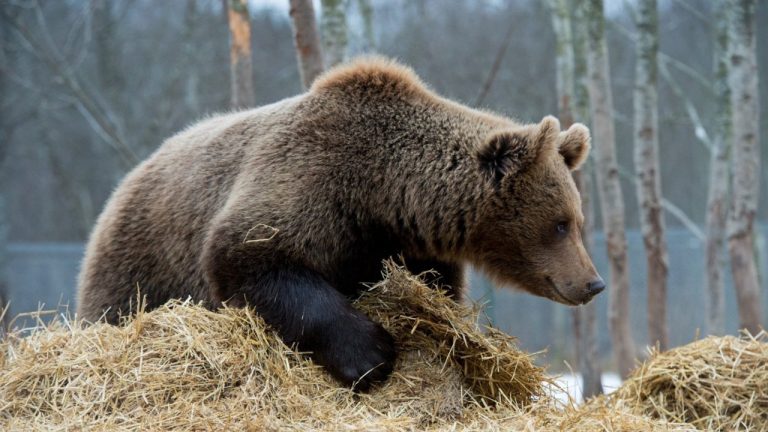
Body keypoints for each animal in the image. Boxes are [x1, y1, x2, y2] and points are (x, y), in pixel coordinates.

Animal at [77, 57, 604, 391]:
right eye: (560, 224)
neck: (386, 193)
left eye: (577, 221)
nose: (593, 283)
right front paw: (371, 354)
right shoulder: (311, 182)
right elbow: (251, 257)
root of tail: (125, 182)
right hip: (142, 260)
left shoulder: (407, 244)